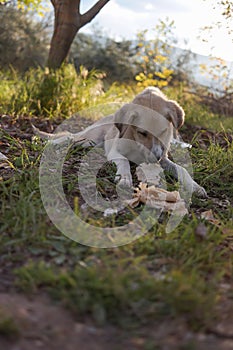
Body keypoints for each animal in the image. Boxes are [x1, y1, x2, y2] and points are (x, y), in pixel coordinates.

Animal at [32, 86, 206, 198]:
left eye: (163, 132)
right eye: (142, 133)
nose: (156, 158)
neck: (136, 143)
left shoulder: (163, 159)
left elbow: (182, 169)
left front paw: (195, 186)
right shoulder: (116, 151)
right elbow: (124, 161)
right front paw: (125, 178)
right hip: (88, 138)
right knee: (69, 137)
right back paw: (53, 144)